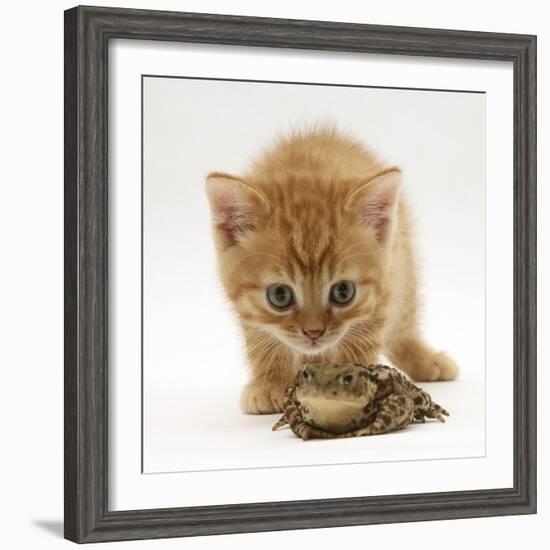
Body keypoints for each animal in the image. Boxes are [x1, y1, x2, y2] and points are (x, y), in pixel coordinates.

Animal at [205, 128, 460, 414]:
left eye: (343, 292)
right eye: (279, 295)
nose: (314, 333)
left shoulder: (382, 289)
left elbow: (361, 342)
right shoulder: (249, 312)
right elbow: (264, 342)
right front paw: (269, 384)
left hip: (404, 265)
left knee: (403, 325)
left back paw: (426, 360)